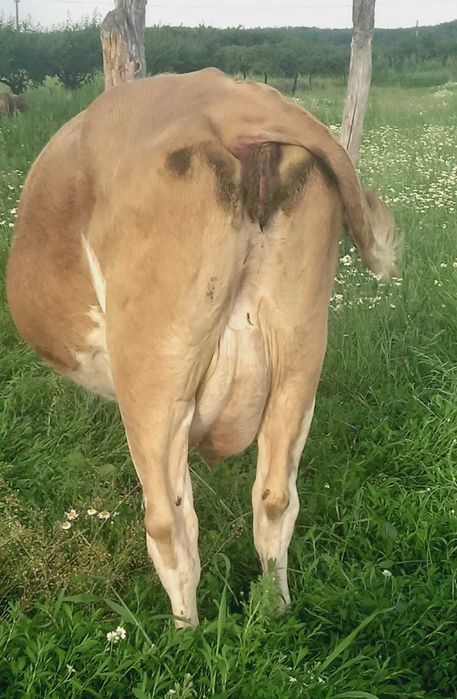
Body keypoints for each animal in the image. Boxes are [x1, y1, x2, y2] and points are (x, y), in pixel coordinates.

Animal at [6, 68, 397, 628]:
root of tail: (225, 96)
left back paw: (182, 634)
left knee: (169, 524)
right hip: (299, 354)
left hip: (154, 376)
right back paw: (273, 610)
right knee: (275, 500)